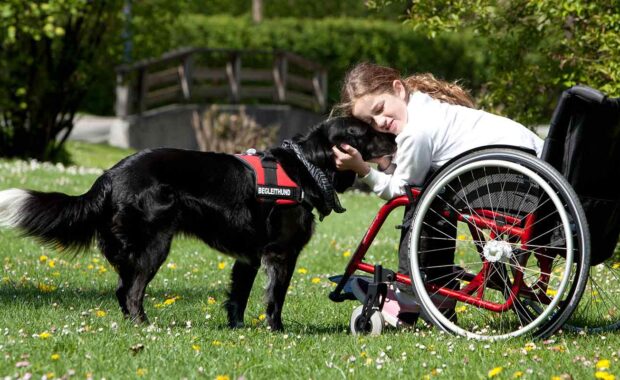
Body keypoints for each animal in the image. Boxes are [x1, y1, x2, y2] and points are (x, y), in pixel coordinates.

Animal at [0, 117, 394, 332]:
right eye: (364, 131)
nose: (393, 135)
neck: (305, 167)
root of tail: (110, 175)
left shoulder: (249, 257)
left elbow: (238, 297)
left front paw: (238, 330)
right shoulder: (280, 254)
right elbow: (275, 299)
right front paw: (277, 330)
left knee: (121, 290)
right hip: (155, 244)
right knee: (132, 291)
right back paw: (145, 326)